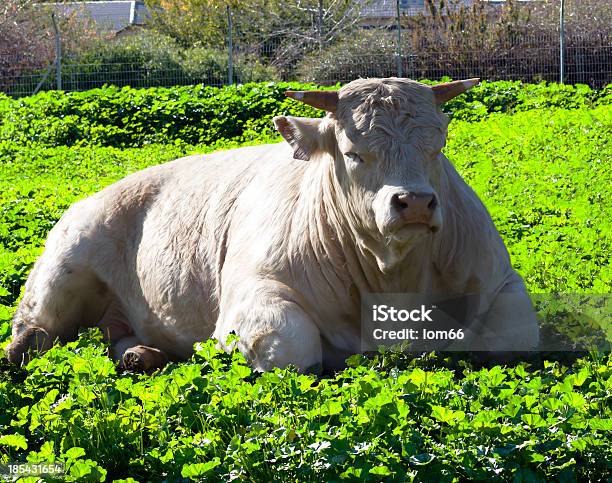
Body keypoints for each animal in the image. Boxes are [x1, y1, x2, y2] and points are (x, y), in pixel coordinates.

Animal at [5, 78, 540, 374]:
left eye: (438, 147)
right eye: (353, 152)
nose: (415, 204)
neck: (390, 276)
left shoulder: (498, 280)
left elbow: (512, 337)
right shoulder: (251, 299)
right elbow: (290, 346)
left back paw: (140, 354)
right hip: (64, 264)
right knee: (33, 330)